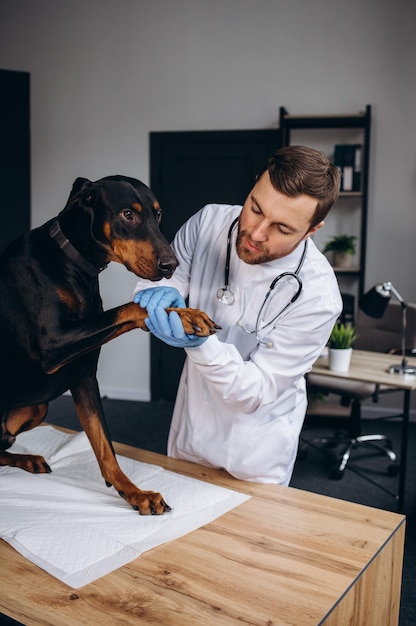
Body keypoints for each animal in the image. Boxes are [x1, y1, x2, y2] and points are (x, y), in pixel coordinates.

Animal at [0, 174, 219, 512]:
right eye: (127, 214)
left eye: (158, 214)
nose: (171, 265)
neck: (70, 262)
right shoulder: (55, 345)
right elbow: (133, 307)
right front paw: (185, 315)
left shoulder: (84, 377)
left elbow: (105, 447)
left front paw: (135, 493)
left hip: (36, 407)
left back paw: (26, 459)